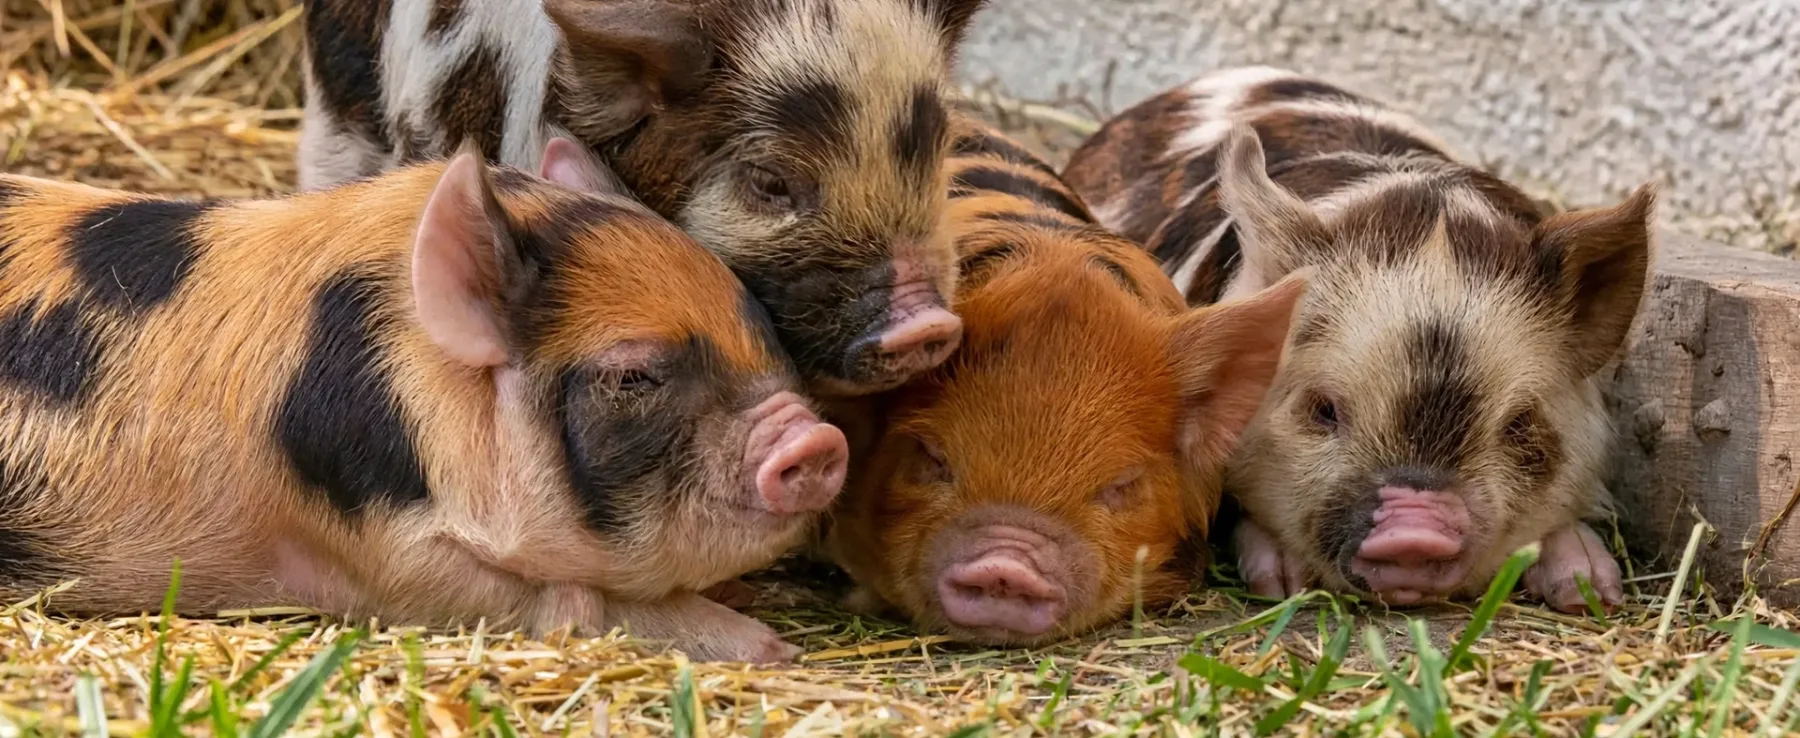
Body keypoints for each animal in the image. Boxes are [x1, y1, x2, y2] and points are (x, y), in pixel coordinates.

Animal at [0, 138, 848, 663]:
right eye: (632, 377)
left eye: (765, 329)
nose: (816, 441)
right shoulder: (374, 553)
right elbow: (575, 602)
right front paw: (766, 646)